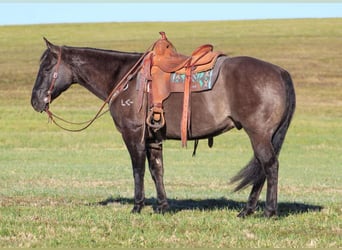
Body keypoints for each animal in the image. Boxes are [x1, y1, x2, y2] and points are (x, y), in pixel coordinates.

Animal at [30, 36, 296, 217]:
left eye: (46, 67)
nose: (35, 101)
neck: (125, 78)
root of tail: (280, 72)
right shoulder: (153, 138)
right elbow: (156, 169)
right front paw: (162, 206)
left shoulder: (133, 134)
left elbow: (138, 169)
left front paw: (137, 207)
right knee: (261, 169)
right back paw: (247, 210)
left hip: (258, 134)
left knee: (269, 166)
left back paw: (268, 212)